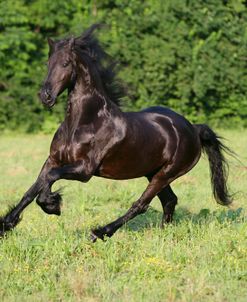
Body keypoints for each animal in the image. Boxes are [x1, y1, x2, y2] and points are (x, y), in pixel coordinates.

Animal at [0, 24, 233, 241]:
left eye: (65, 63)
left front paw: (52, 204)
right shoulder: (53, 160)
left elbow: (49, 179)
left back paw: (100, 232)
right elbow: (33, 188)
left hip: (167, 173)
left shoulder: (84, 170)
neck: (84, 122)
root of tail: (193, 128)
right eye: (47, 64)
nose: (45, 96)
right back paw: (162, 233)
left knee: (141, 204)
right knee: (169, 200)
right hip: (153, 171)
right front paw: (6, 225)